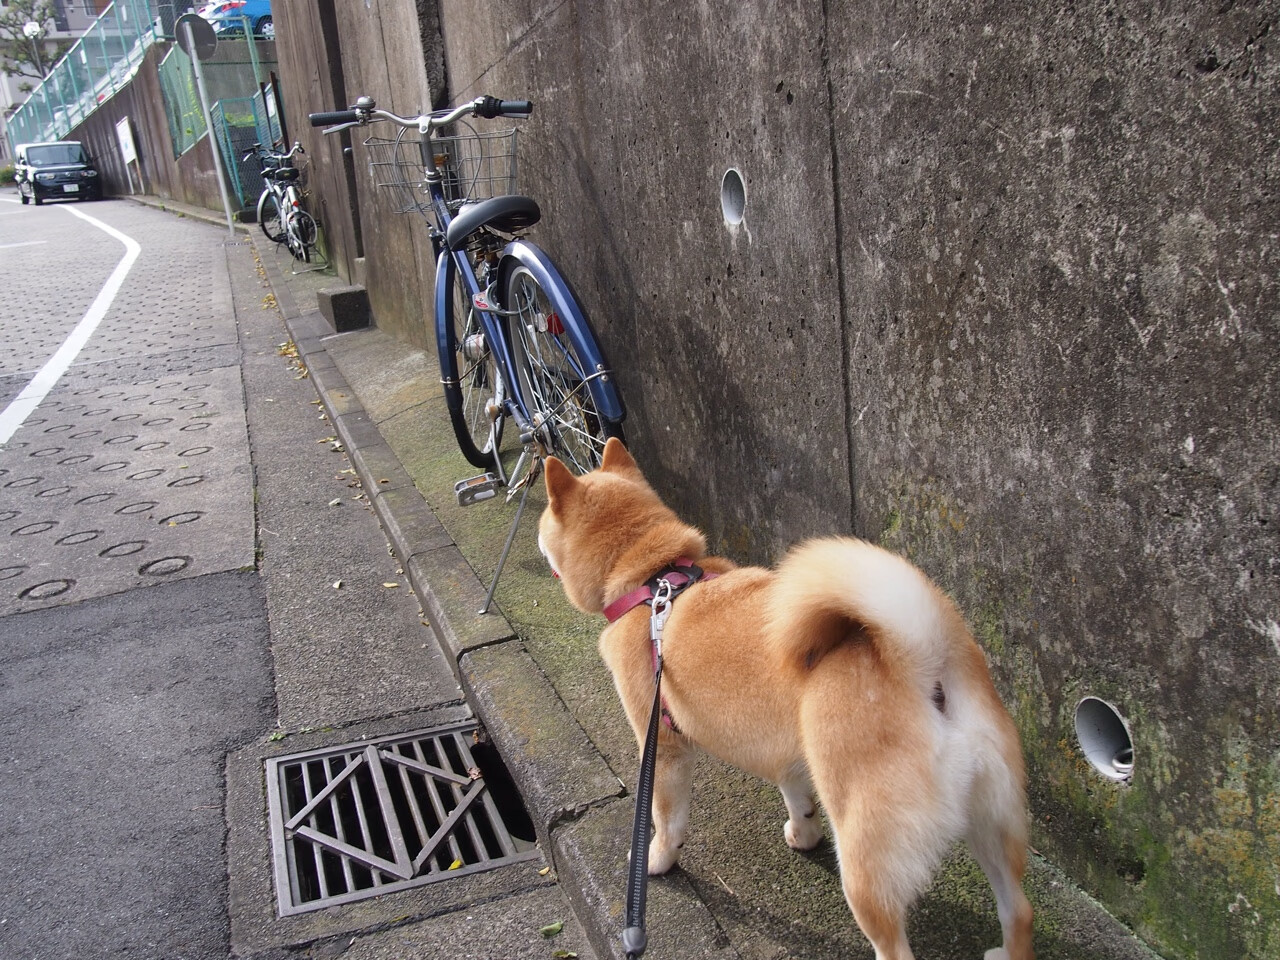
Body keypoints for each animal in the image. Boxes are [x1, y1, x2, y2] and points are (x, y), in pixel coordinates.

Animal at [535, 437, 1034, 960]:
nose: (535, 540)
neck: (652, 580)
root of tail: (921, 662)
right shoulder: (786, 750)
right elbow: (795, 793)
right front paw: (804, 832)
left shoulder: (664, 748)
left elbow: (666, 820)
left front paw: (654, 860)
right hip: (991, 819)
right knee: (1019, 911)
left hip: (866, 857)